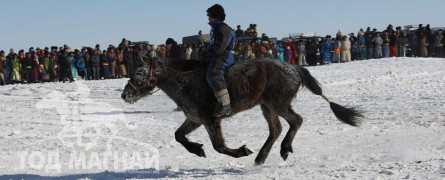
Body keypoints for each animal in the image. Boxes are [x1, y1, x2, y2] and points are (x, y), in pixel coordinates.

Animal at [119, 57, 362, 165]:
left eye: (139, 72)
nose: (125, 95)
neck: (185, 81)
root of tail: (294, 68)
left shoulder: (210, 120)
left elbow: (218, 146)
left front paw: (241, 151)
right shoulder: (195, 119)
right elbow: (178, 135)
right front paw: (197, 150)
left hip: (277, 103)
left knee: (296, 120)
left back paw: (283, 149)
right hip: (267, 106)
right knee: (276, 129)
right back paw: (262, 157)